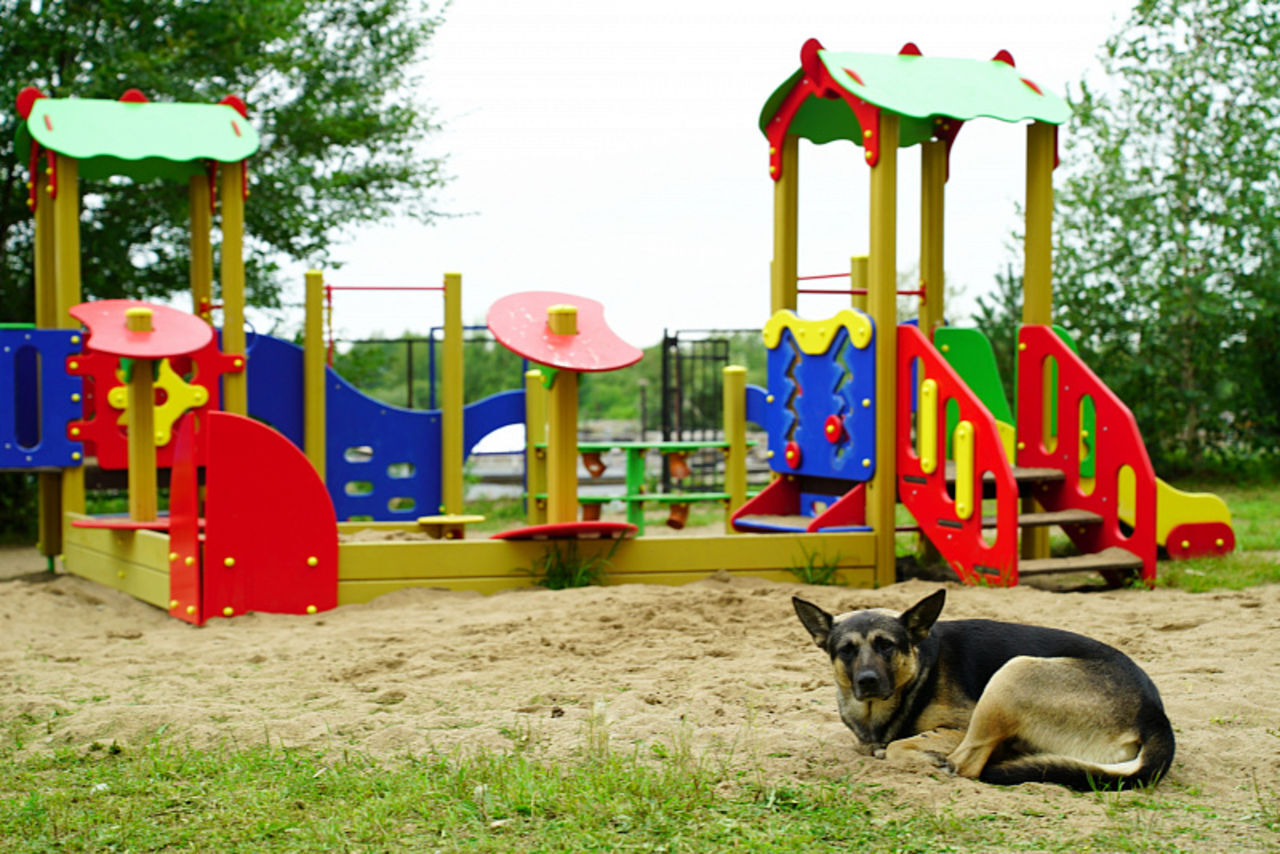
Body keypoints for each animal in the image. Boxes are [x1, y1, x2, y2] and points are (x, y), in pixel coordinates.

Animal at [793, 591, 1172, 793]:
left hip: (1013, 672)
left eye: (886, 646)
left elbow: (903, 746)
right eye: (846, 650)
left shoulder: (959, 726)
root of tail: (1155, 714)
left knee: (966, 764)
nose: (867, 680)